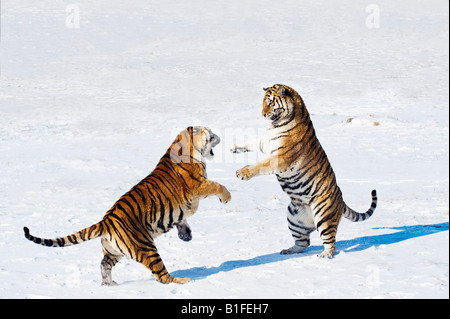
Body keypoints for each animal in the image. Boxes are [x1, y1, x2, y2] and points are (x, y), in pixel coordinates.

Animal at [23, 126, 232, 286]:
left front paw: (185, 235)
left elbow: (182, 219)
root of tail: (105, 221)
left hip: (114, 251)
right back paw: (182, 281)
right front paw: (227, 197)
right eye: (211, 134)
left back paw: (109, 284)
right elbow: (218, 185)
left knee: (103, 264)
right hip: (146, 246)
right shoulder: (198, 185)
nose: (219, 136)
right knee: (161, 276)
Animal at [232, 85, 376, 260]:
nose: (263, 114)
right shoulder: (264, 143)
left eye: (270, 103)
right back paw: (288, 251)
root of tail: (341, 200)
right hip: (294, 218)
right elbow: (250, 142)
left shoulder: (280, 158)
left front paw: (242, 172)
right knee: (303, 243)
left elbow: (260, 165)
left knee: (330, 241)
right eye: (263, 102)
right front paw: (234, 147)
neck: (276, 125)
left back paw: (324, 255)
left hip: (323, 216)